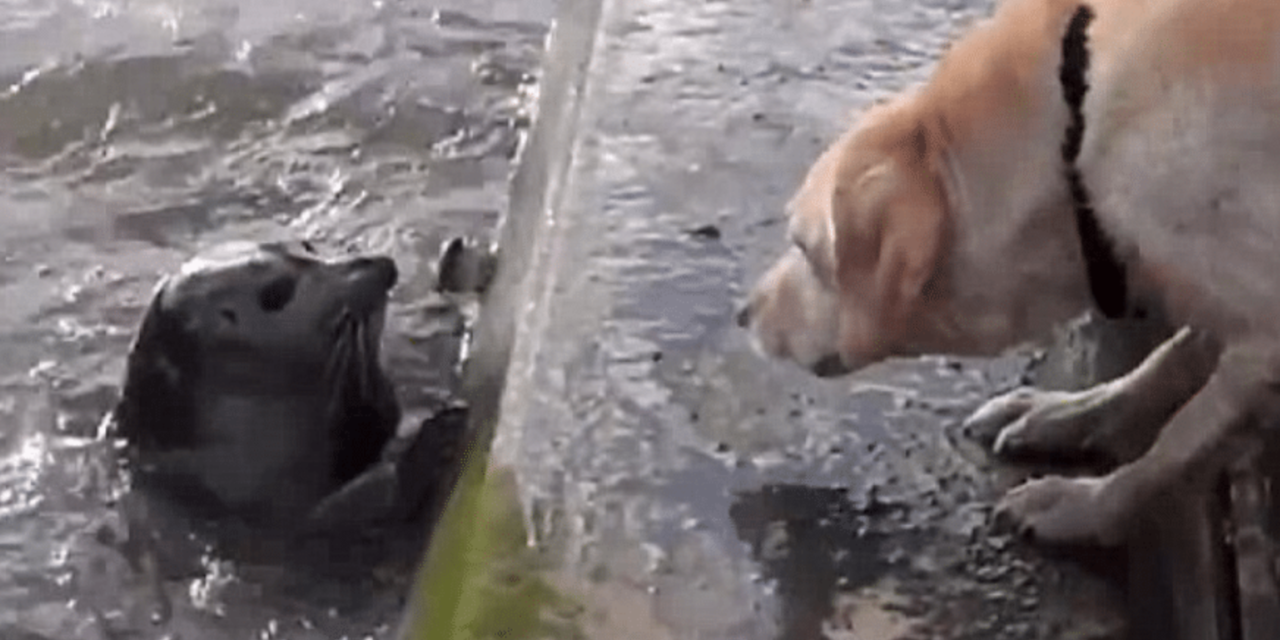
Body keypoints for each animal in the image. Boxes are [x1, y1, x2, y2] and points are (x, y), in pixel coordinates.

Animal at [737, 0, 1280, 547]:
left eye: (805, 248)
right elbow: (1167, 361)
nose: (742, 313)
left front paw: (1086, 506)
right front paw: (1069, 414)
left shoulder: (1263, 327)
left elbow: (1180, 440)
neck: (1069, 128)